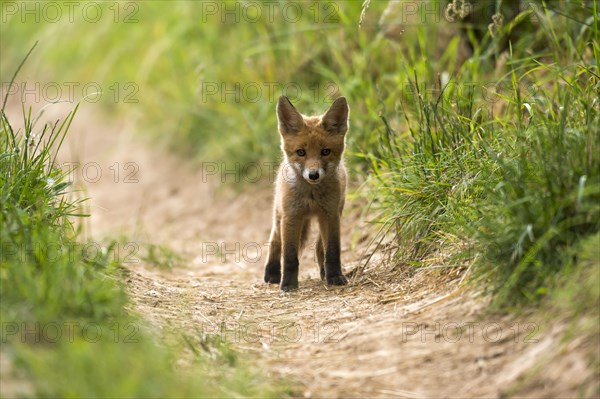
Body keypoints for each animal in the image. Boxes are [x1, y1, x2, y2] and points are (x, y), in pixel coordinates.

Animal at [264, 96, 350, 290]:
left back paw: (324, 274)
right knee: (275, 241)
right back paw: (272, 274)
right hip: (279, 217)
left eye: (325, 151)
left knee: (319, 247)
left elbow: (332, 252)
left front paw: (335, 277)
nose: (313, 175)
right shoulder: (291, 217)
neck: (311, 196)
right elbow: (289, 257)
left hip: (334, 215)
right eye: (301, 152)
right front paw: (288, 285)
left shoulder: (330, 215)